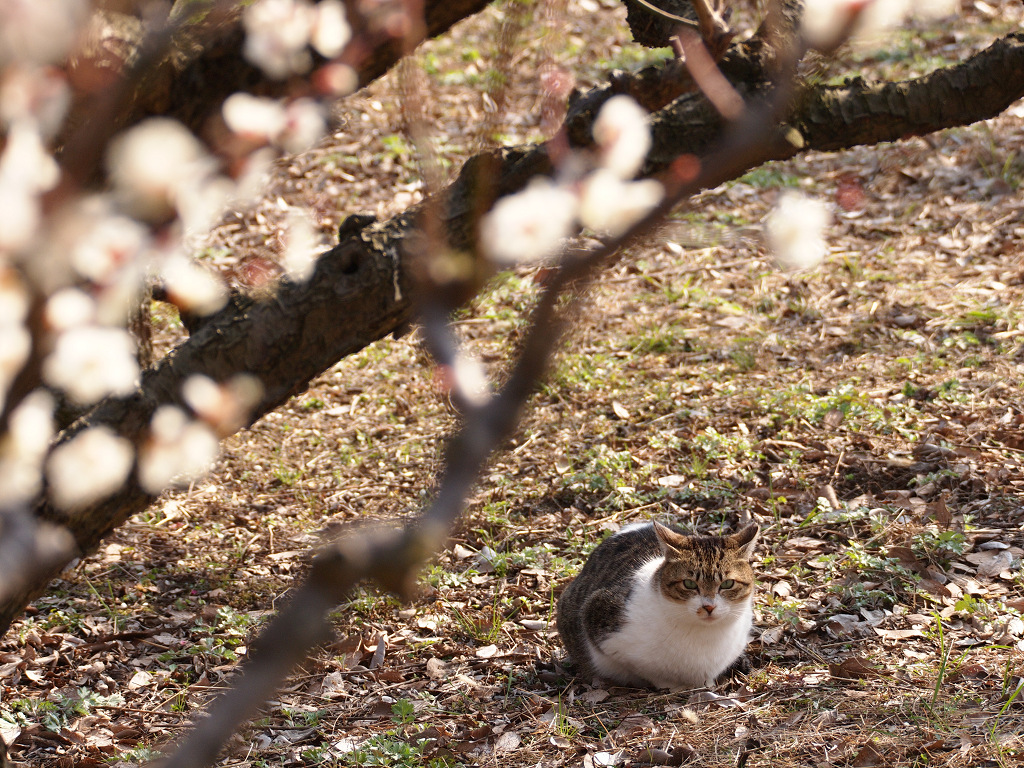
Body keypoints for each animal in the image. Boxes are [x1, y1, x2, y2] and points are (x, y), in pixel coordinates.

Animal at [557, 524, 757, 692]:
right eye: (689, 584)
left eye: (728, 584)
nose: (709, 606)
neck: (705, 634)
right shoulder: (602, 622)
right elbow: (650, 672)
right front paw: (675, 686)